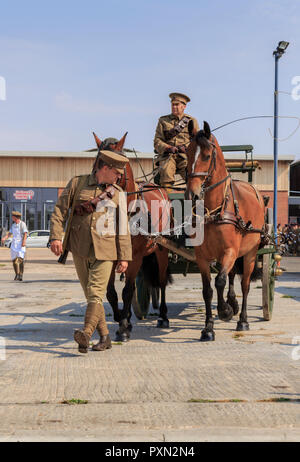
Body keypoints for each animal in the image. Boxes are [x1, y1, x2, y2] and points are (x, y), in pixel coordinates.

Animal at [91, 132, 172, 342]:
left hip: (162, 249)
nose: (101, 198)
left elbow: (127, 291)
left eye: (115, 167)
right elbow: (111, 292)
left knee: (161, 281)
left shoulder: (134, 257)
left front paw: (123, 329)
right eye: (96, 165)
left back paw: (163, 316)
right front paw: (121, 318)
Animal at [185, 121, 264, 342]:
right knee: (232, 275)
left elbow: (219, 281)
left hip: (250, 253)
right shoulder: (202, 256)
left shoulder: (230, 251)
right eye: (187, 153)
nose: (192, 194)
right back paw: (232, 303)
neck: (215, 210)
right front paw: (208, 328)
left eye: (206, 155)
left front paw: (225, 311)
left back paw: (242, 320)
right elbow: (207, 290)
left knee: (244, 283)